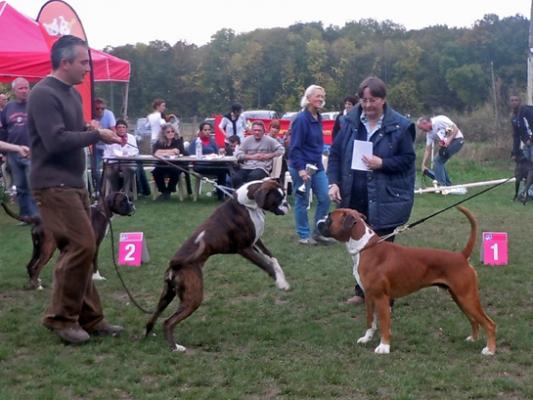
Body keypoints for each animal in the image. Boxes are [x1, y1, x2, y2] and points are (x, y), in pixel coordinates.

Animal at [1, 192, 135, 290]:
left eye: (128, 199)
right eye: (123, 200)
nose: (132, 204)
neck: (102, 210)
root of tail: (38, 219)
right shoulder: (96, 245)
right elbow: (95, 262)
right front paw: (97, 277)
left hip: (37, 248)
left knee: (30, 265)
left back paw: (33, 283)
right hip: (48, 249)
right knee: (37, 266)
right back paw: (37, 286)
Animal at [143, 180, 288, 352]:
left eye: (284, 195)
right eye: (278, 199)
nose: (287, 204)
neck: (248, 204)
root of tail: (175, 263)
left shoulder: (256, 242)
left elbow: (273, 260)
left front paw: (283, 280)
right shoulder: (244, 248)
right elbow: (266, 265)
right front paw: (279, 282)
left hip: (167, 294)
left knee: (154, 315)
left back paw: (148, 335)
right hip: (193, 298)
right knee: (168, 322)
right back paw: (176, 347)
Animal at [316, 206, 494, 354]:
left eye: (329, 218)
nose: (318, 223)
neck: (365, 248)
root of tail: (461, 256)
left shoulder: (381, 298)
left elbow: (384, 324)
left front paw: (384, 347)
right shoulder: (369, 296)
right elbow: (370, 321)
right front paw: (367, 338)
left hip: (467, 298)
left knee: (489, 323)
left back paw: (490, 350)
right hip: (460, 298)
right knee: (474, 320)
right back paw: (473, 339)